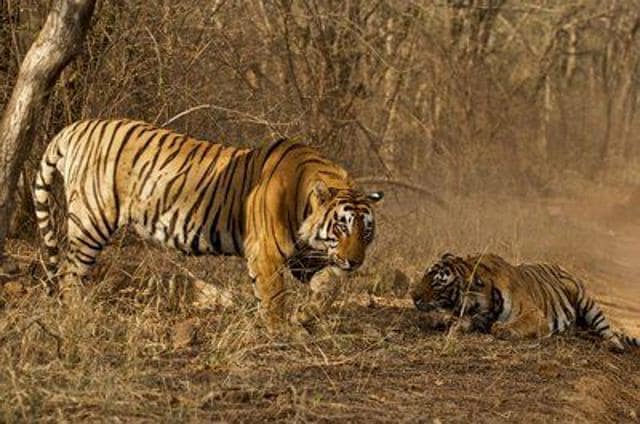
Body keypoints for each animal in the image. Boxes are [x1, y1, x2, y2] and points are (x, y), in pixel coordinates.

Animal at [33, 118, 380, 332]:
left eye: (365, 231)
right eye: (341, 227)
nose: (355, 261)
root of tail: (76, 127)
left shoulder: (303, 257)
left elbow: (330, 284)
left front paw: (307, 314)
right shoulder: (267, 253)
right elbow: (273, 296)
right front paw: (281, 330)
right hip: (91, 220)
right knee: (69, 272)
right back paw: (79, 315)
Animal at [412, 252, 636, 352]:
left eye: (437, 283)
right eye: (425, 275)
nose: (413, 296)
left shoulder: (535, 315)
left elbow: (518, 323)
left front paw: (503, 329)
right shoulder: (474, 316)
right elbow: (458, 321)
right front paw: (440, 320)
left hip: (586, 301)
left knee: (606, 329)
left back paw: (612, 344)